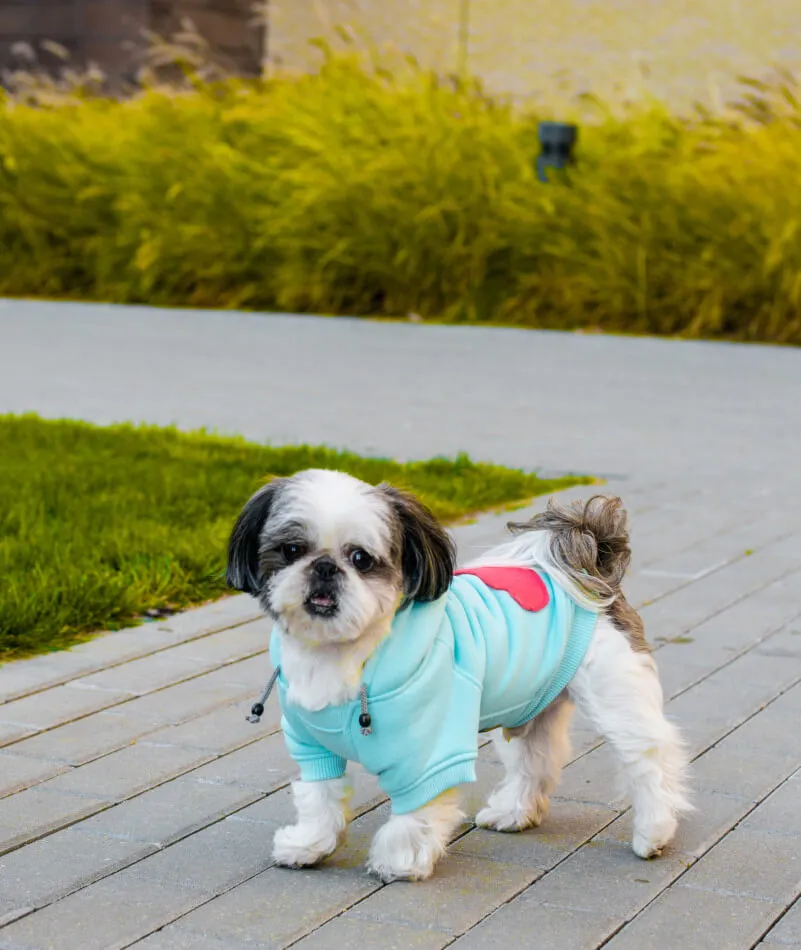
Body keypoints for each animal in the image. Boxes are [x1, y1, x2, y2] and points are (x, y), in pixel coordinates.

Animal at [225, 472, 688, 880]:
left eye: (360, 558)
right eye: (291, 549)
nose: (323, 568)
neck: (347, 655)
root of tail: (591, 565)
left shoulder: (430, 750)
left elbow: (417, 807)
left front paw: (401, 859)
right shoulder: (311, 746)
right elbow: (319, 797)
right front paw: (309, 844)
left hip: (615, 695)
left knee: (647, 759)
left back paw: (654, 832)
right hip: (531, 702)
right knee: (535, 758)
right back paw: (514, 812)